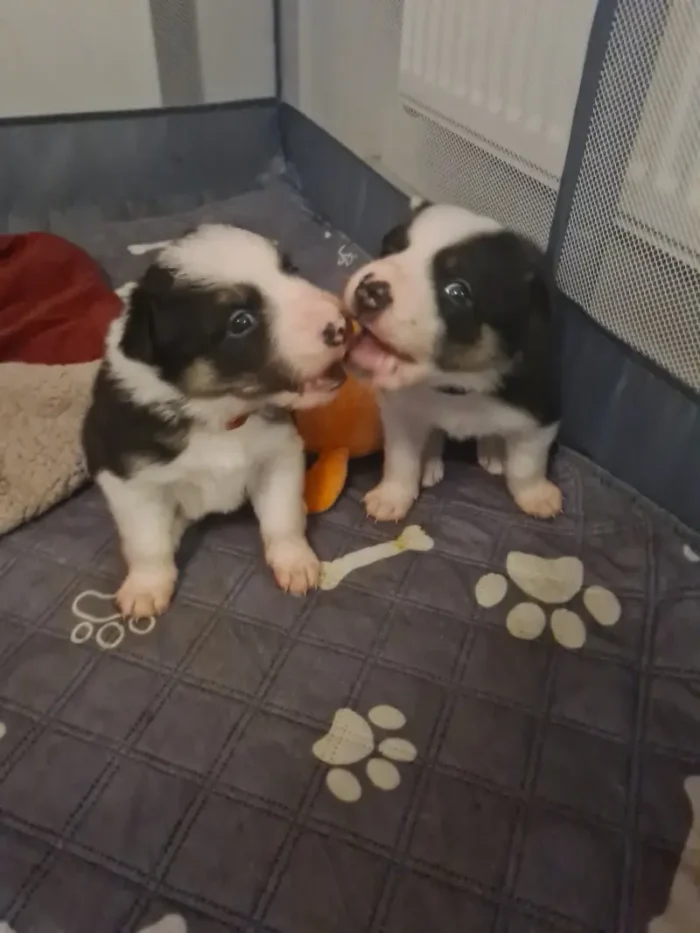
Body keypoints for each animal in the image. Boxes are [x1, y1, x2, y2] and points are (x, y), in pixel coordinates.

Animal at [82, 226, 350, 620]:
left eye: (291, 270)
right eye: (240, 322)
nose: (343, 325)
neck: (222, 418)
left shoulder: (280, 454)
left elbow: (282, 516)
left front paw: (295, 561)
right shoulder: (129, 480)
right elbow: (147, 541)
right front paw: (146, 586)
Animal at [344, 203, 564, 520]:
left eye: (457, 292)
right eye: (390, 249)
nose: (369, 291)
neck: (458, 386)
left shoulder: (540, 407)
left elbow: (527, 463)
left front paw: (536, 496)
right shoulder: (400, 411)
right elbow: (401, 459)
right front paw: (392, 495)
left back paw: (493, 450)